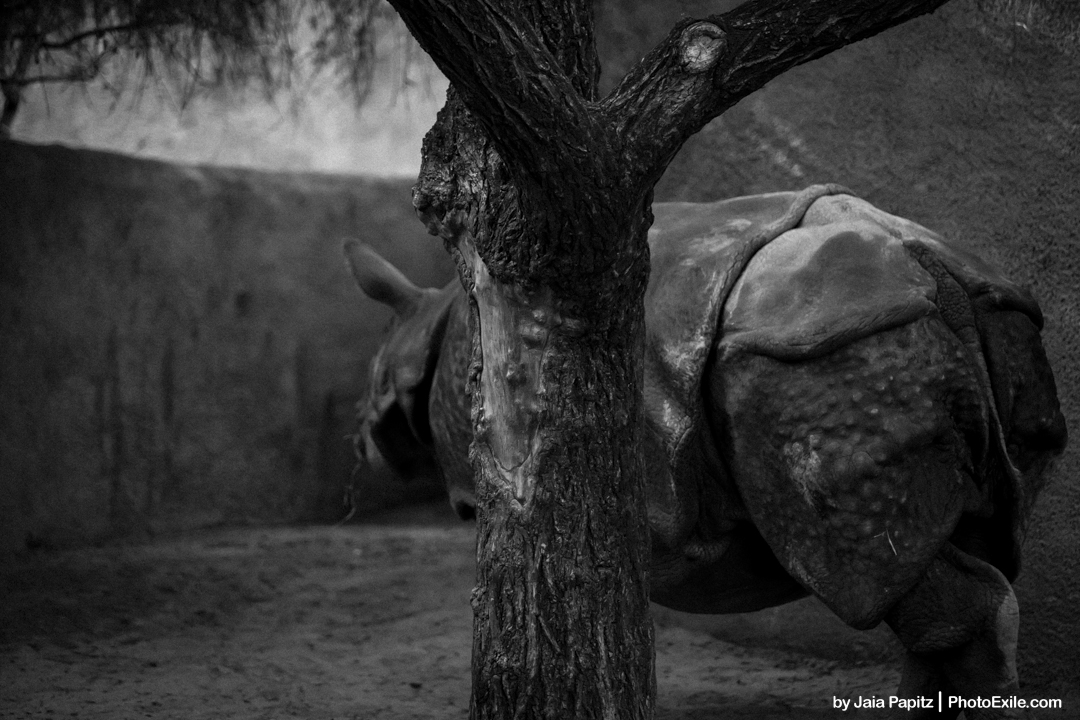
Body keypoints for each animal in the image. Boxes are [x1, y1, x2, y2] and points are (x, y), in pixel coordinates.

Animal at [346, 185, 1065, 718]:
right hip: (990, 322)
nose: (360, 447)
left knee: (875, 570)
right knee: (957, 542)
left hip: (827, 351)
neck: (424, 321)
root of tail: (931, 269)